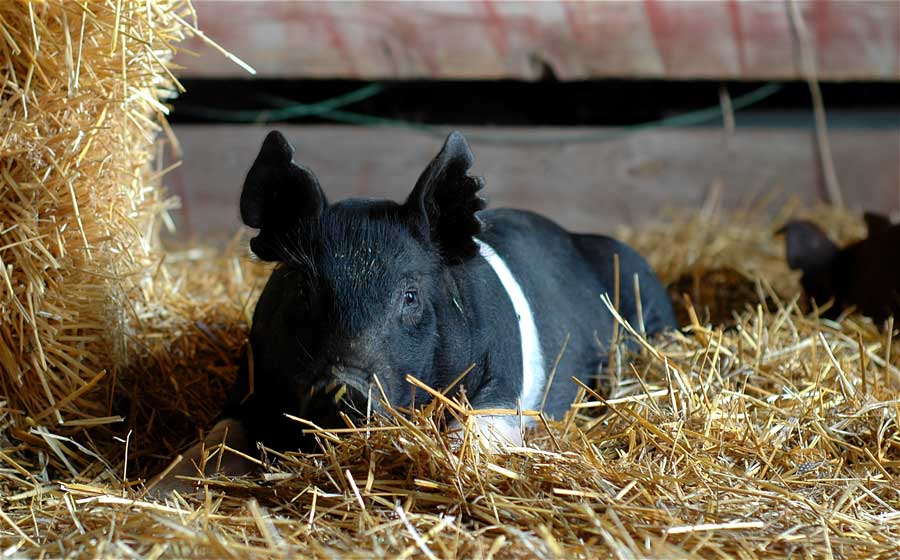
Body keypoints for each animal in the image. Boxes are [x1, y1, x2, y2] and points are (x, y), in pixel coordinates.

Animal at [151, 130, 675, 496]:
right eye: (302, 288)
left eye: (409, 296)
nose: (343, 389)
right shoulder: (249, 382)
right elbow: (216, 438)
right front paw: (156, 490)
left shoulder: (500, 382)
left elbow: (475, 434)